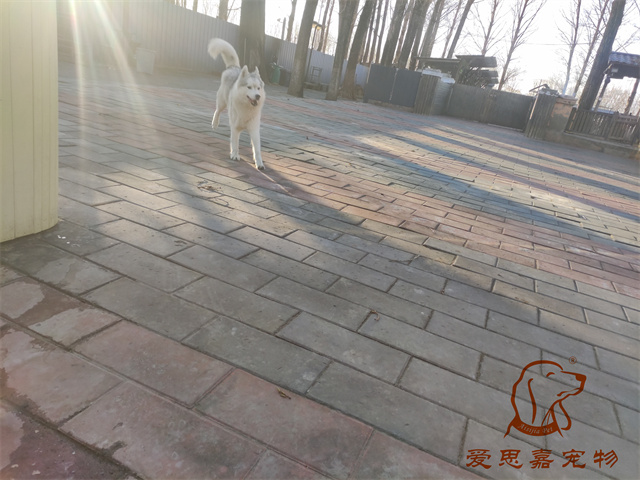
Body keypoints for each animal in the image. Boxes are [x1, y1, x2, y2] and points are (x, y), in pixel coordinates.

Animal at [208, 38, 265, 170]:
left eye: (258, 88)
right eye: (249, 87)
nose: (258, 96)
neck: (246, 108)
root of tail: (234, 67)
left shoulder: (254, 129)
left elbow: (257, 149)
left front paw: (259, 163)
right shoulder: (235, 127)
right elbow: (235, 142)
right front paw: (234, 154)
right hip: (222, 102)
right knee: (217, 110)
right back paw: (215, 123)